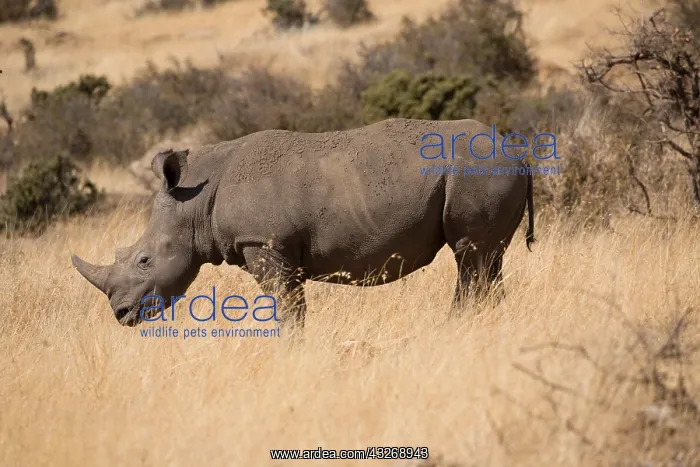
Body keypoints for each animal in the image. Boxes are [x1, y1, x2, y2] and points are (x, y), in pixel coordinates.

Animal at [71, 118, 536, 329]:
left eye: (144, 260)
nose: (121, 314)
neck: (195, 201)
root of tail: (514, 150)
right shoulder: (273, 248)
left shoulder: (265, 244)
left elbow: (287, 308)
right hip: (484, 171)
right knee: (486, 260)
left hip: (477, 171)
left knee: (471, 256)